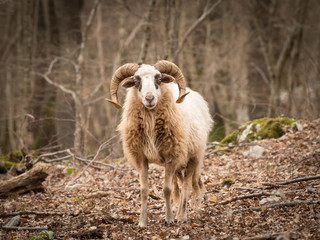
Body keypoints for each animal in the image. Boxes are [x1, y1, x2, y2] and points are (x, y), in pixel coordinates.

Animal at [106, 60, 214, 227]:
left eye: (159, 78)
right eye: (136, 80)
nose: (149, 98)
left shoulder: (171, 157)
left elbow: (166, 189)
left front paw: (169, 219)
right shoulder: (142, 158)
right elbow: (144, 190)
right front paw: (142, 221)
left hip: (193, 157)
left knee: (186, 187)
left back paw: (181, 216)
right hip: (179, 163)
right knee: (180, 185)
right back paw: (177, 210)